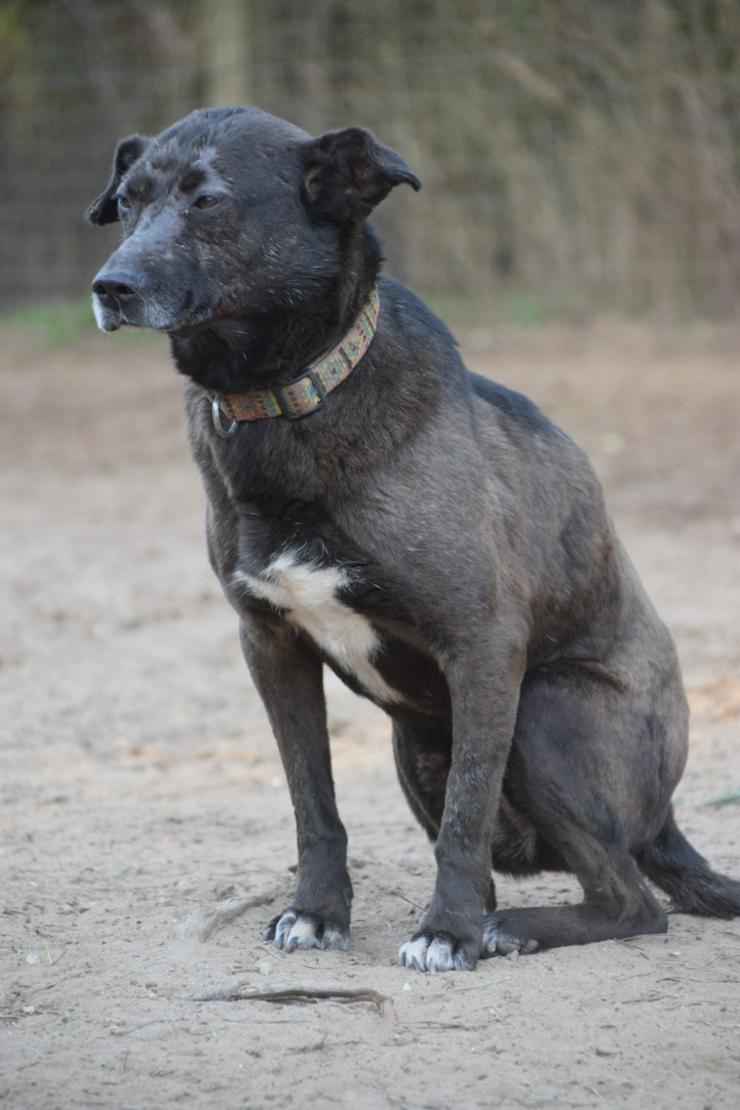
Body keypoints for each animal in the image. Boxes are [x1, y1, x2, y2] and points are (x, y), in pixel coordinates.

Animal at [88, 104, 740, 972]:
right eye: (127, 200)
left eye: (208, 201)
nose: (110, 287)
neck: (288, 398)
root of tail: (667, 814)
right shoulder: (270, 645)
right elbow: (313, 803)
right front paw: (316, 912)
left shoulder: (484, 645)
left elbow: (465, 818)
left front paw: (447, 933)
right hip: (414, 747)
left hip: (542, 713)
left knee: (632, 899)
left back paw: (510, 927)